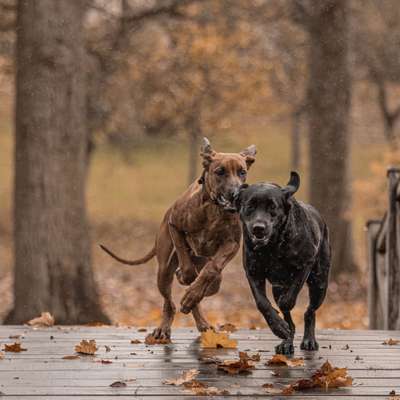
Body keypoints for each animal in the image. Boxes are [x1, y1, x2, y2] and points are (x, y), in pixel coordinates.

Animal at [101, 138, 256, 338]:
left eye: (242, 172)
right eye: (220, 171)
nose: (236, 193)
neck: (214, 209)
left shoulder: (232, 243)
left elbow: (212, 269)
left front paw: (196, 291)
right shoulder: (175, 225)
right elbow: (187, 264)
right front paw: (185, 277)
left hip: (204, 266)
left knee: (210, 284)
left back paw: (200, 315)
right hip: (163, 269)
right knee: (169, 302)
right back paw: (165, 325)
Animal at [236, 171, 330, 354]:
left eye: (272, 207)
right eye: (250, 206)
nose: (259, 227)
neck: (272, 247)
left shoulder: (304, 265)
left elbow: (288, 300)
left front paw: (283, 312)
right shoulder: (253, 272)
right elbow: (262, 303)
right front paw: (278, 327)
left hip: (319, 283)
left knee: (310, 311)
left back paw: (309, 340)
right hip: (278, 287)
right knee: (291, 320)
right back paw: (286, 341)